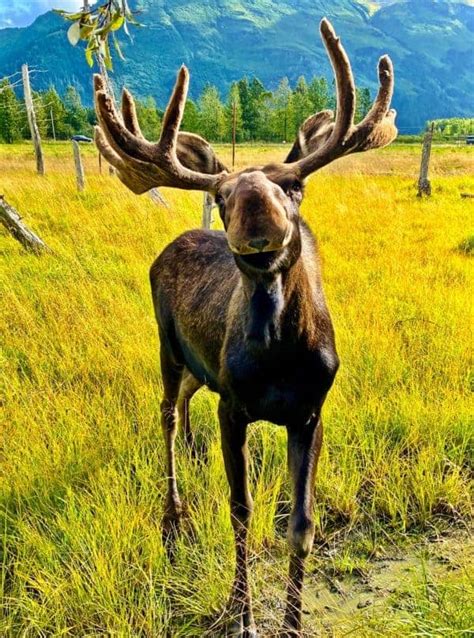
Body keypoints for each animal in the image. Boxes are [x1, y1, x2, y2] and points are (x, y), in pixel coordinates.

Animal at [92, 17, 396, 636]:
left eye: (295, 185)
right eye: (223, 193)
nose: (258, 217)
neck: (279, 356)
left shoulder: (310, 411)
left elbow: (301, 523)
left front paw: (294, 621)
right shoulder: (233, 407)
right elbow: (241, 511)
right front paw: (243, 613)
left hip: (198, 368)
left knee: (186, 401)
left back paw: (189, 459)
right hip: (167, 346)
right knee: (165, 413)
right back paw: (173, 514)